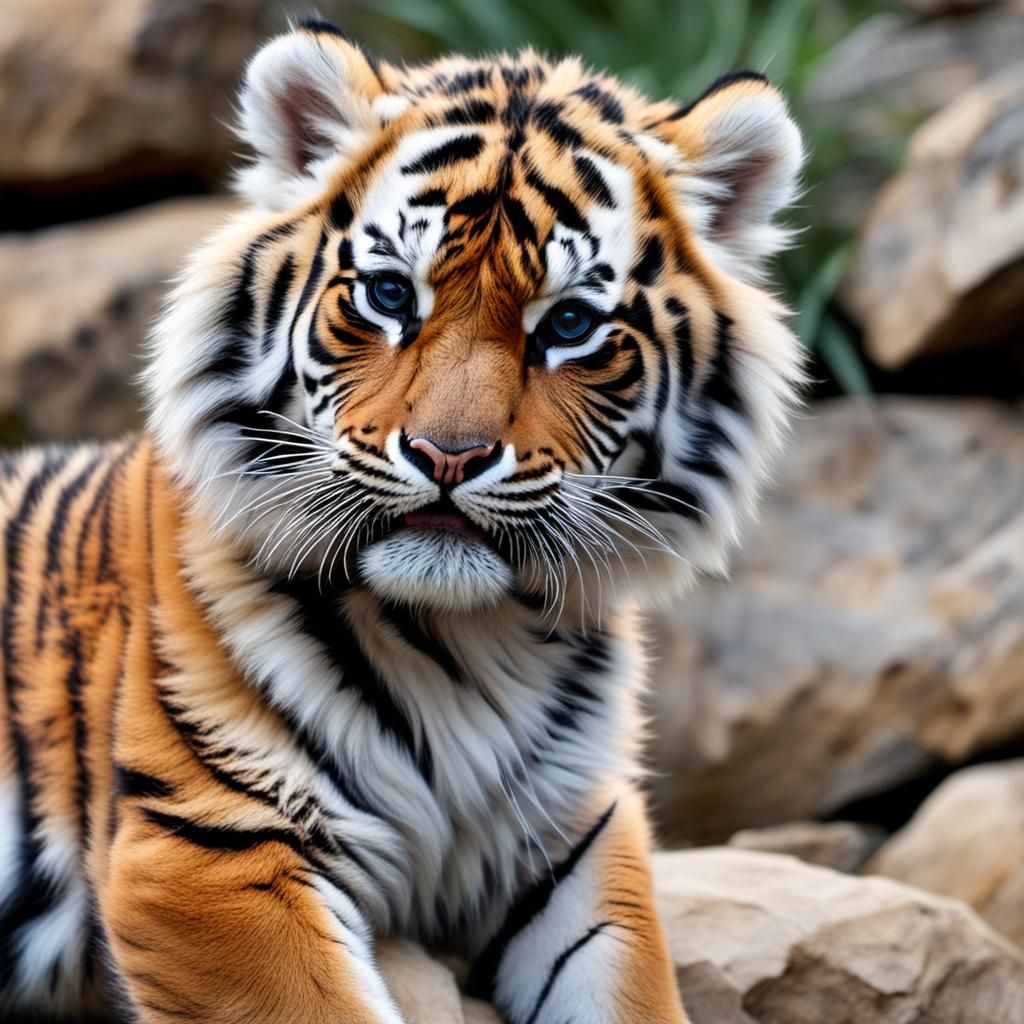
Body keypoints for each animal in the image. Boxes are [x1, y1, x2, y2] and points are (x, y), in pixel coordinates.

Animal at [0, 19, 804, 1024]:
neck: (465, 646)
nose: (448, 456)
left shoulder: (581, 835)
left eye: (569, 325)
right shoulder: (209, 843)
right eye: (390, 296)